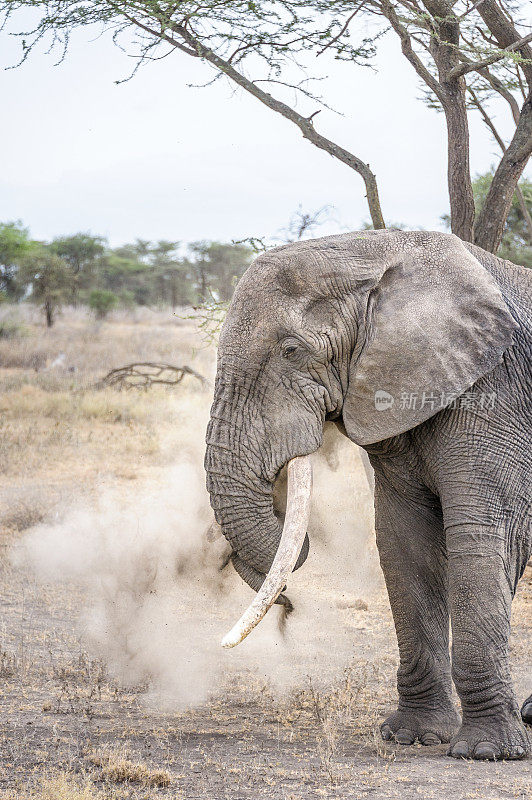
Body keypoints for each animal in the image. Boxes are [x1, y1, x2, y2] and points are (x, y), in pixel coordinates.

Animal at [205, 231, 532, 764]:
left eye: (291, 350)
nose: (287, 607)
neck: (381, 249)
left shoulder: (496, 395)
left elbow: (484, 539)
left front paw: (487, 752)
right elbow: (403, 542)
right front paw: (412, 736)